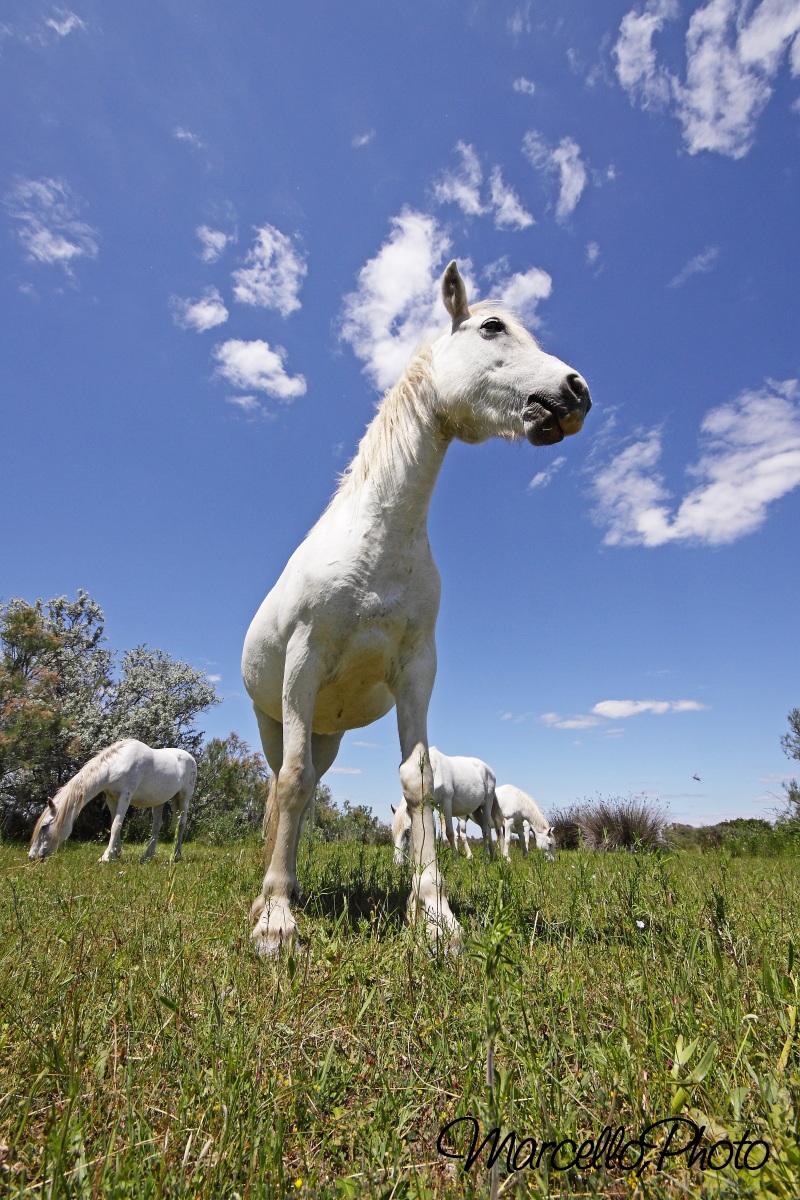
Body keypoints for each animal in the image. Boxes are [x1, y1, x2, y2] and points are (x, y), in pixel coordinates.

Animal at [28, 739, 197, 863]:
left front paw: (106, 857)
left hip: (184, 798)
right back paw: (146, 856)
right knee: (157, 826)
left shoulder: (125, 795)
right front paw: (115, 854)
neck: (115, 765)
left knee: (181, 824)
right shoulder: (111, 798)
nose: (31, 856)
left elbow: (117, 825)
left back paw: (176, 855)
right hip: (158, 801)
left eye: (44, 826)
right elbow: (113, 824)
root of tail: (190, 758)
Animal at [242, 260, 591, 953]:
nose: (576, 392)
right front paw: (276, 919)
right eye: (492, 327)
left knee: (311, 785)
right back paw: (272, 891)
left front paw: (432, 913)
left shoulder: (415, 671)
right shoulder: (303, 662)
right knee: (285, 783)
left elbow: (419, 784)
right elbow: (290, 784)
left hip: (326, 733)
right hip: (278, 718)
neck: (379, 538)